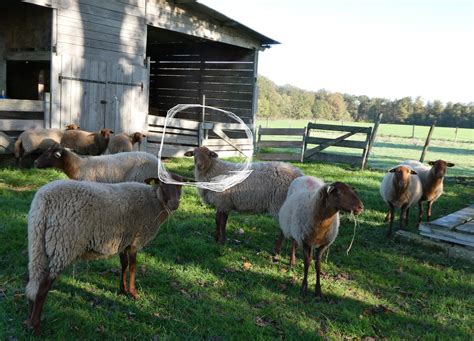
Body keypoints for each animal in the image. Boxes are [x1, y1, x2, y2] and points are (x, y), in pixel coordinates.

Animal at [24, 175, 183, 334]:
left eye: (180, 186)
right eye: (163, 184)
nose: (174, 205)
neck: (154, 201)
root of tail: (43, 201)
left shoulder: (123, 241)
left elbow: (124, 265)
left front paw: (123, 290)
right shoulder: (135, 241)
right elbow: (133, 267)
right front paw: (133, 293)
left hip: (37, 243)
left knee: (33, 283)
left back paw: (29, 321)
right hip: (62, 245)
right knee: (42, 287)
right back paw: (36, 326)